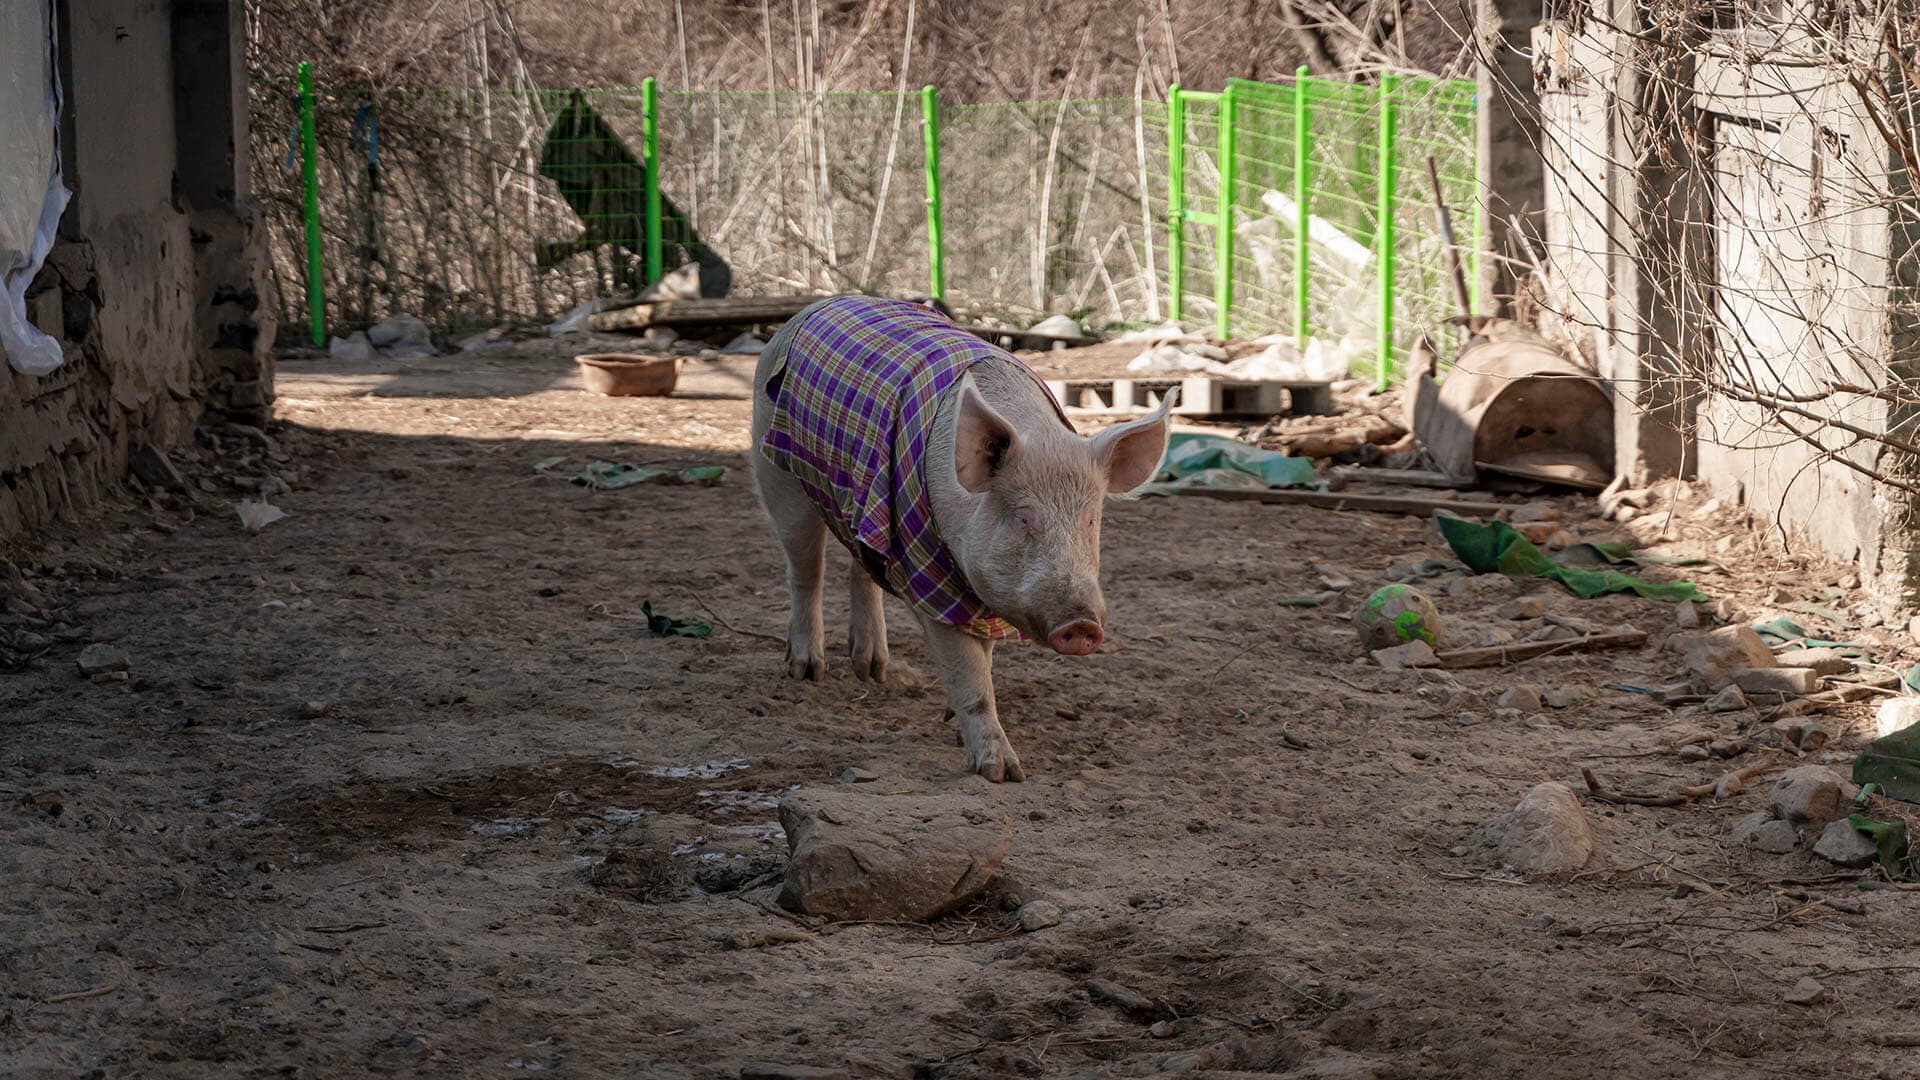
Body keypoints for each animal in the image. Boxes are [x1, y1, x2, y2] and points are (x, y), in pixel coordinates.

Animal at [748, 295, 1167, 780]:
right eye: (1023, 518)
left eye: (1091, 520)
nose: (1081, 625)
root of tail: (813, 307)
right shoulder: (927, 573)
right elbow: (969, 670)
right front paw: (1003, 773)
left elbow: (984, 656)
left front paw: (956, 726)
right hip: (776, 470)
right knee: (805, 568)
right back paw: (806, 671)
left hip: (862, 501)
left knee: (862, 566)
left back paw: (872, 671)